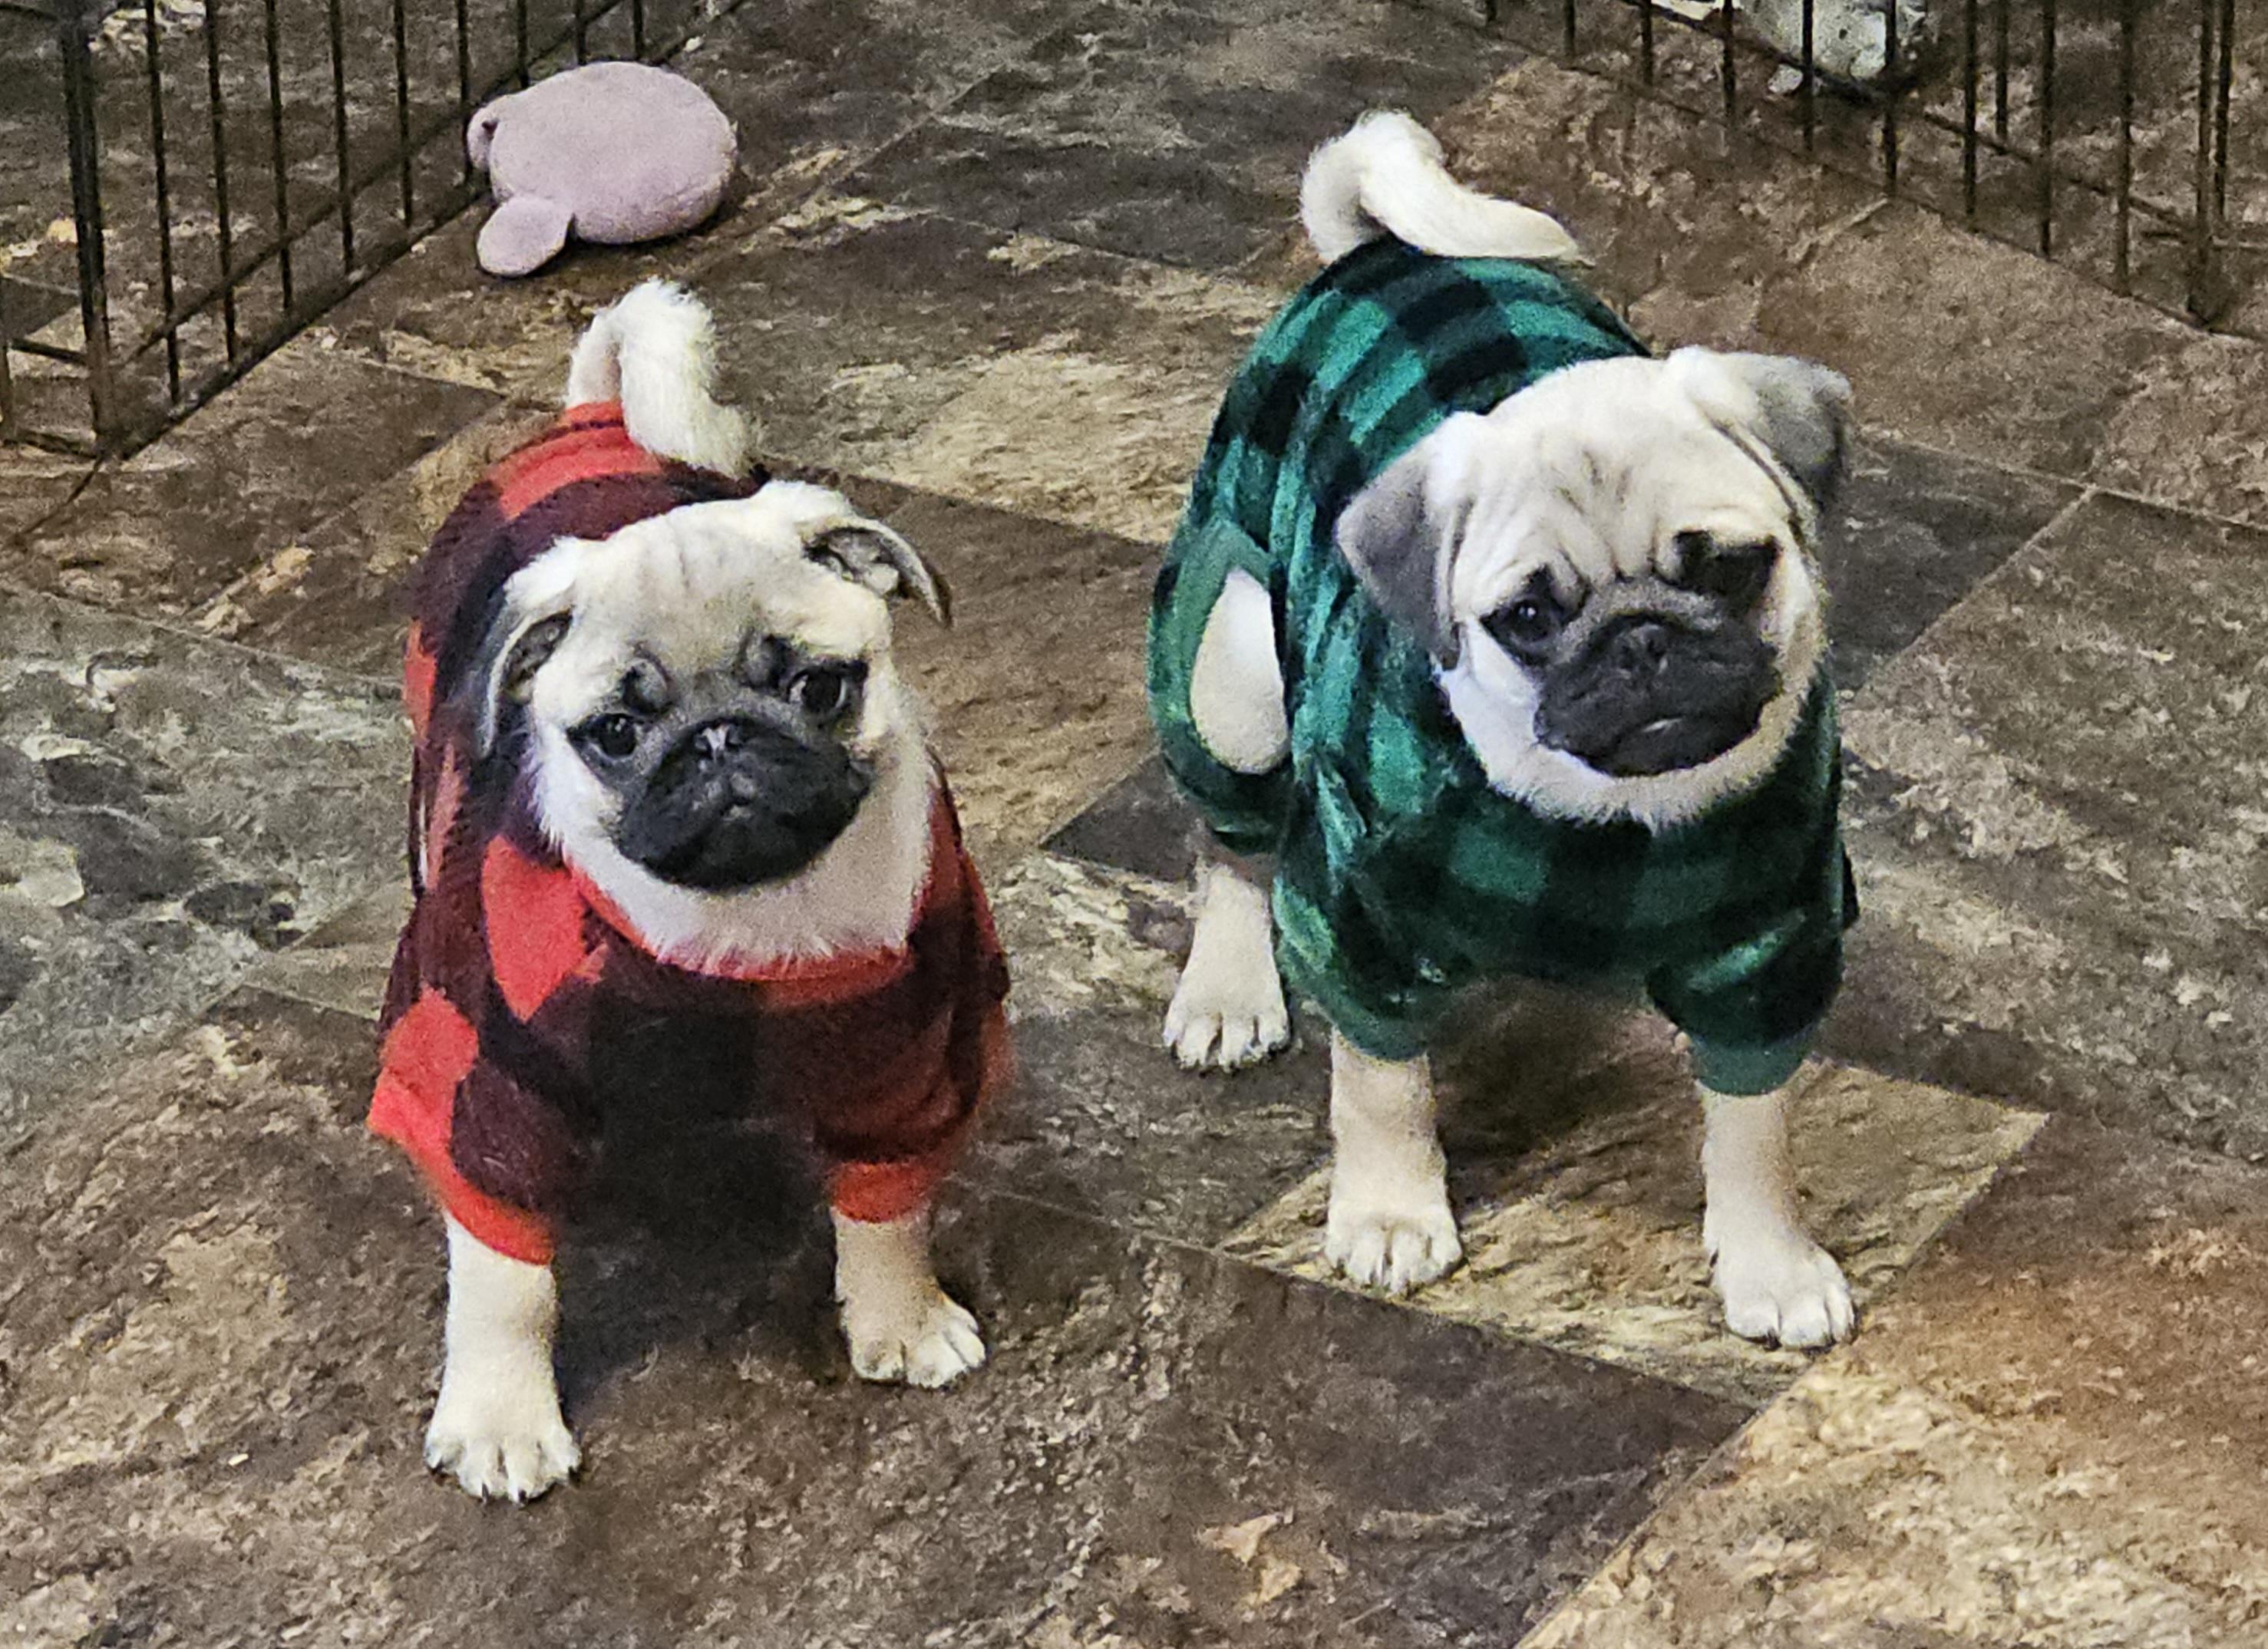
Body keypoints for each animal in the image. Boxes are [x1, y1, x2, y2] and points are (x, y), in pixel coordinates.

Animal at [368, 280, 1011, 1501]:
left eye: (818, 686)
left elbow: (889, 1211)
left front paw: (899, 1320)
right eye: (617, 733)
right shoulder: (490, 1094)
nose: (719, 742)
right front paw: (501, 1417)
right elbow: (505, 1286)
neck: (750, 921)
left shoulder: (910, 1064)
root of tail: (594, 415)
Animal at [1149, 113, 1859, 1348]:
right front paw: (1391, 1213)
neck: (1617, 817)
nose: (1640, 642)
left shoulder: (1767, 945)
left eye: (1727, 566)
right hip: (1231, 679)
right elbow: (1380, 1088)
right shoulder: (1364, 928)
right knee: (1229, 845)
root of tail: (1372, 253)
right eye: (1526, 619)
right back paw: (1228, 990)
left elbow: (1754, 1127)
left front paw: (1769, 1262)